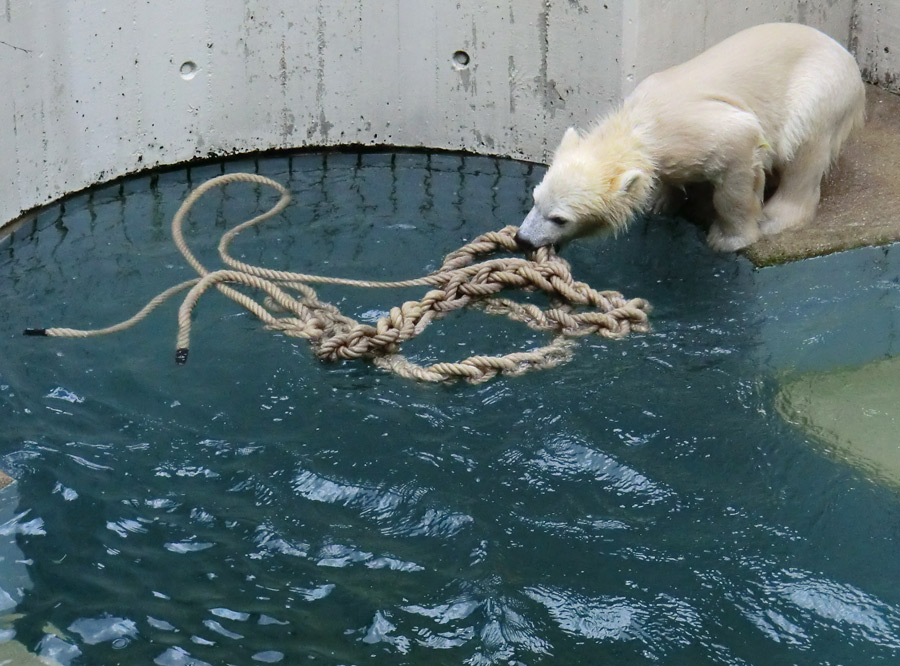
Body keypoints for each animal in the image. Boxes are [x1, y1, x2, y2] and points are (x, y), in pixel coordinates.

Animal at [516, 22, 868, 252]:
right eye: (535, 199)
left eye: (559, 219)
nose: (523, 240)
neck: (641, 123)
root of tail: (847, 56)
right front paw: (659, 200)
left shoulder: (714, 131)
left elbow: (738, 168)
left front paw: (730, 238)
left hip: (819, 86)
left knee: (803, 147)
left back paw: (775, 216)